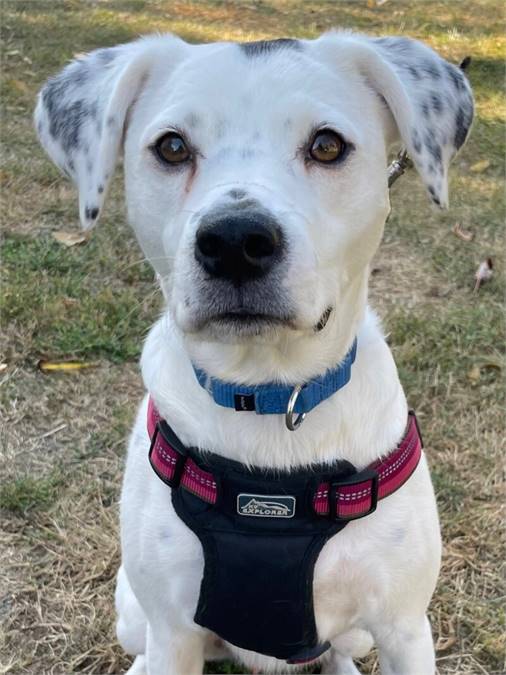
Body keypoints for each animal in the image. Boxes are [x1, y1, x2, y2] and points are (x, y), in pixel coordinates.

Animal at [36, 31, 474, 675]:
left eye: (327, 145)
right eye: (171, 147)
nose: (235, 242)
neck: (269, 394)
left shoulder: (404, 628)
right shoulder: (173, 631)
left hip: (359, 634)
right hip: (133, 612)